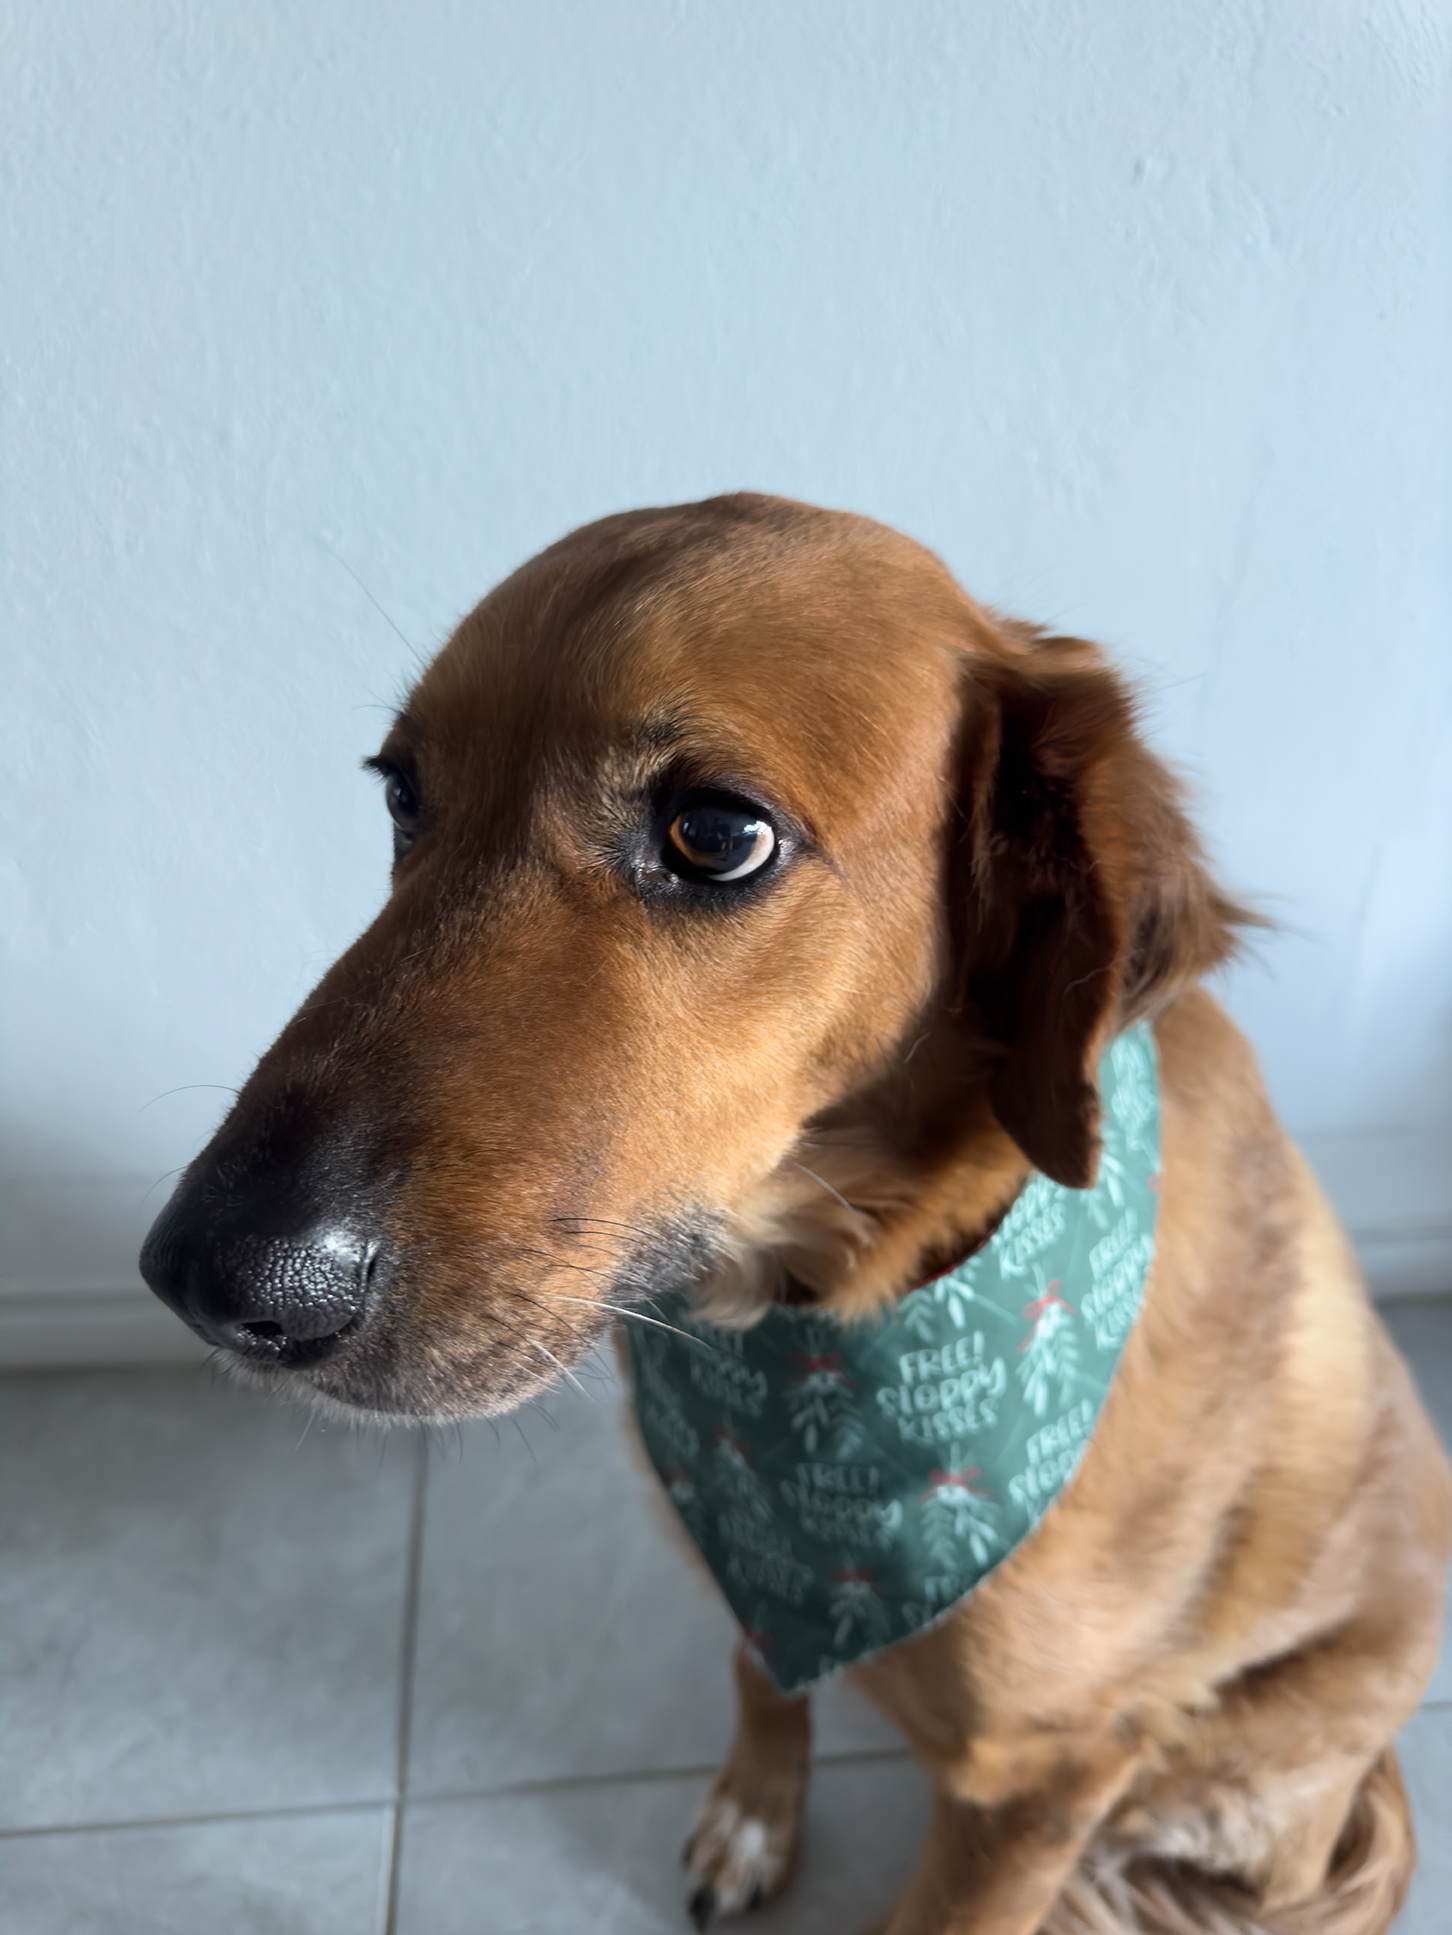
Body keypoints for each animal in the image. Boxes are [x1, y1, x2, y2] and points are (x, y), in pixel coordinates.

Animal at [142, 499, 1448, 1935]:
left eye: (715, 833)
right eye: (401, 793)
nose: (209, 1275)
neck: (829, 1308)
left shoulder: (1042, 1781)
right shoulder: (751, 1551)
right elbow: (757, 1671)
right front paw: (755, 1814)